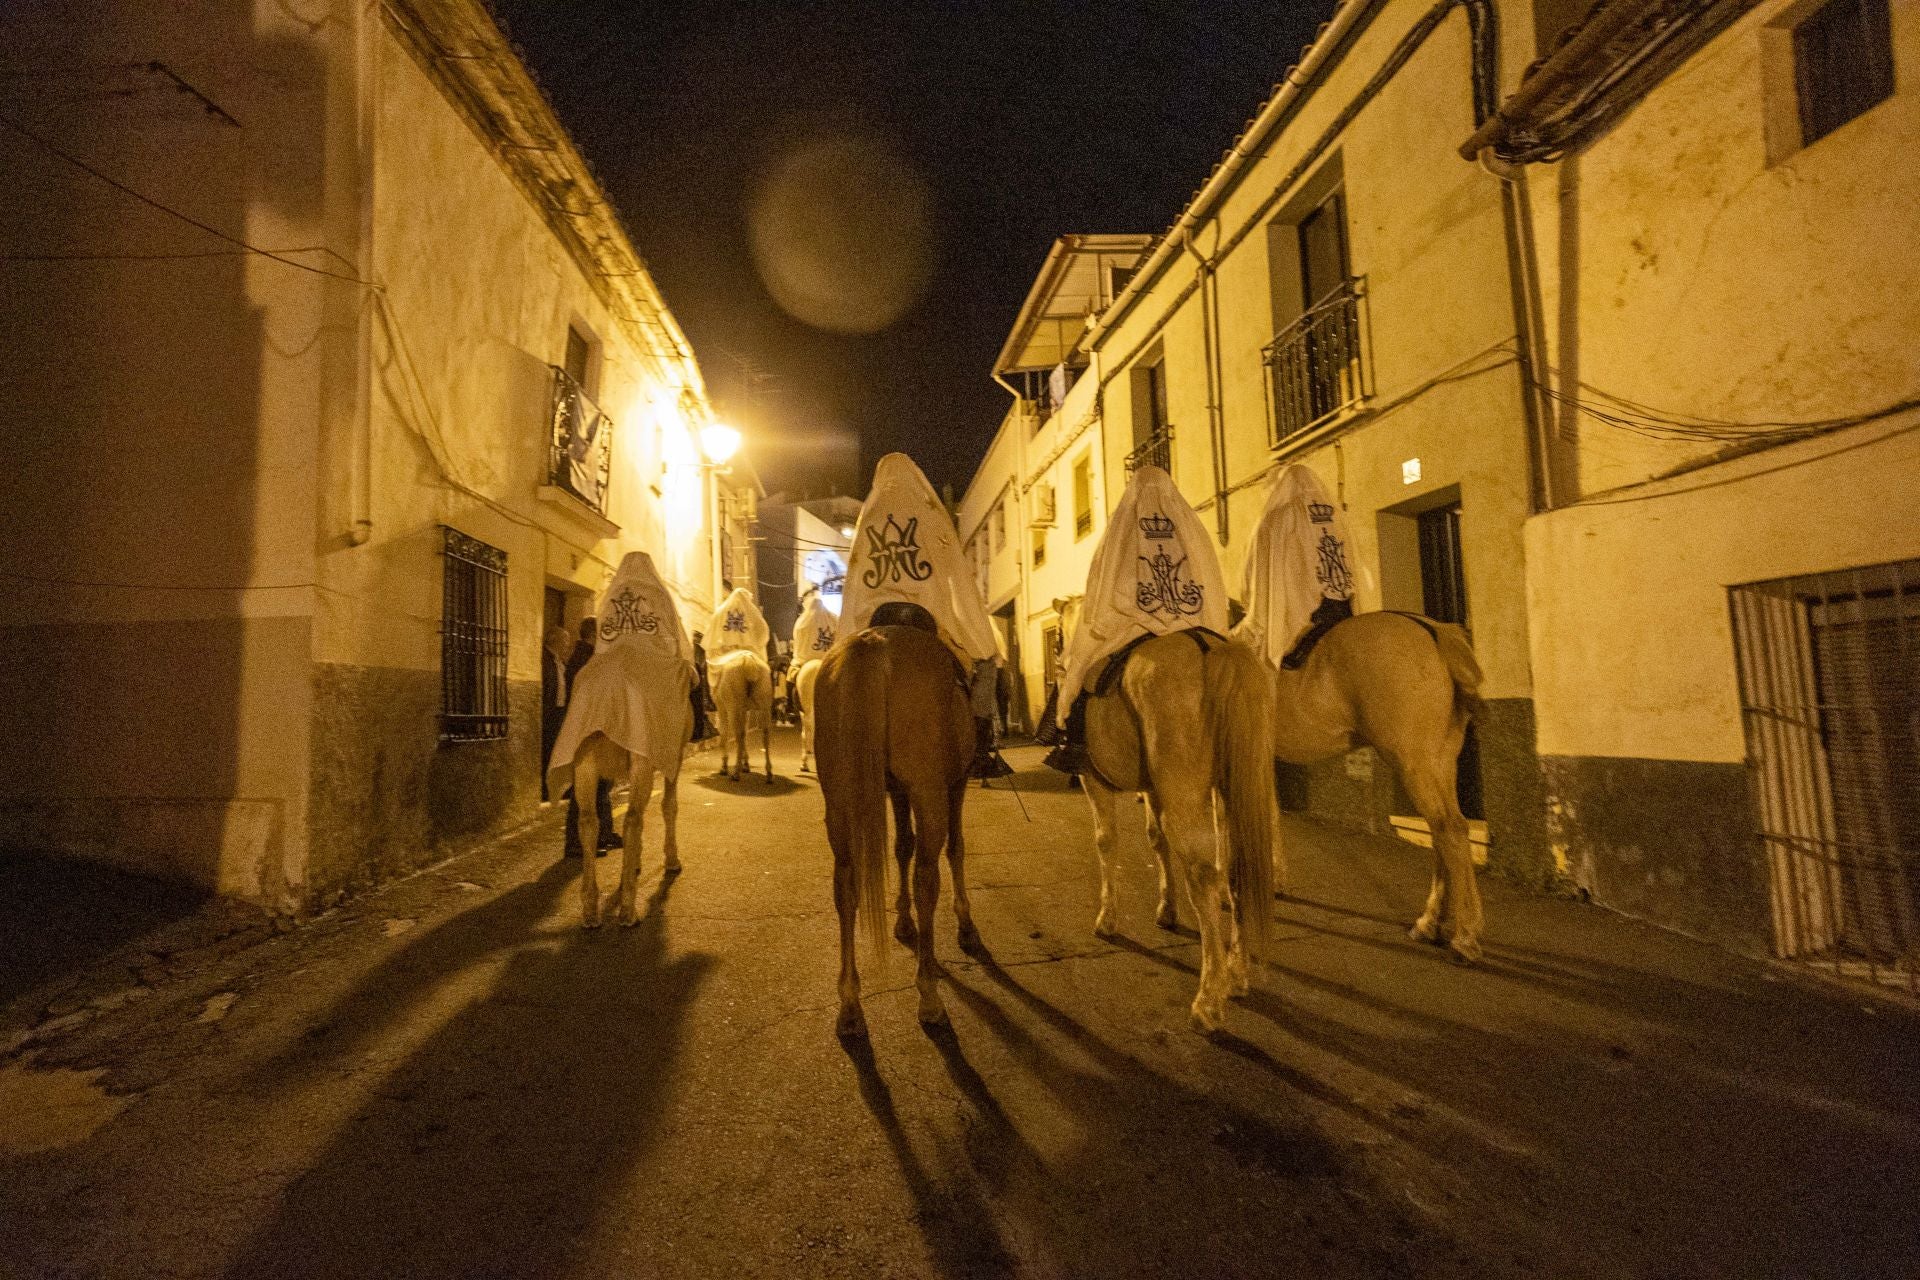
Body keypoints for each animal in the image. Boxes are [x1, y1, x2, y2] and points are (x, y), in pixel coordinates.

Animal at [556, 729, 691, 932]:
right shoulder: (673, 755)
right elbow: (669, 805)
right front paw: (672, 860)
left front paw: (634, 861)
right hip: (640, 758)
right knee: (633, 819)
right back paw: (628, 911)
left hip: (585, 762)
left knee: (588, 821)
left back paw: (590, 911)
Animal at [714, 652, 771, 782]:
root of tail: (748, 661)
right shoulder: (745, 710)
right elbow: (745, 733)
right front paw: (746, 765)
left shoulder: (722, 708)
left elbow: (724, 734)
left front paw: (724, 767)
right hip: (764, 704)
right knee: (765, 735)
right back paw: (769, 774)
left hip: (733, 706)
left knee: (738, 736)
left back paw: (736, 773)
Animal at [817, 621, 983, 1043]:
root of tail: (872, 644)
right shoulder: (954, 784)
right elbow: (955, 848)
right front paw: (965, 924)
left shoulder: (896, 791)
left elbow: (901, 846)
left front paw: (903, 920)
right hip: (929, 791)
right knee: (928, 876)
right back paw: (929, 997)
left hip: (840, 801)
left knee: (845, 884)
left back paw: (850, 1005)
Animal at [1059, 602, 1282, 1028]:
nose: (1059, 667)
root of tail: (1213, 648)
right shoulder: (1151, 788)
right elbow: (1155, 839)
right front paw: (1166, 908)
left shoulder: (1093, 780)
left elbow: (1106, 842)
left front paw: (1107, 918)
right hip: (1233, 794)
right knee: (1235, 870)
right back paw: (1237, 973)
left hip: (1186, 798)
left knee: (1204, 877)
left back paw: (1209, 997)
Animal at [1274, 614, 1482, 959]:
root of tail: (1436, 632)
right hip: (1439, 760)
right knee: (1445, 829)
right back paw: (1430, 923)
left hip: (1414, 761)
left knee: (1448, 828)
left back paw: (1464, 936)